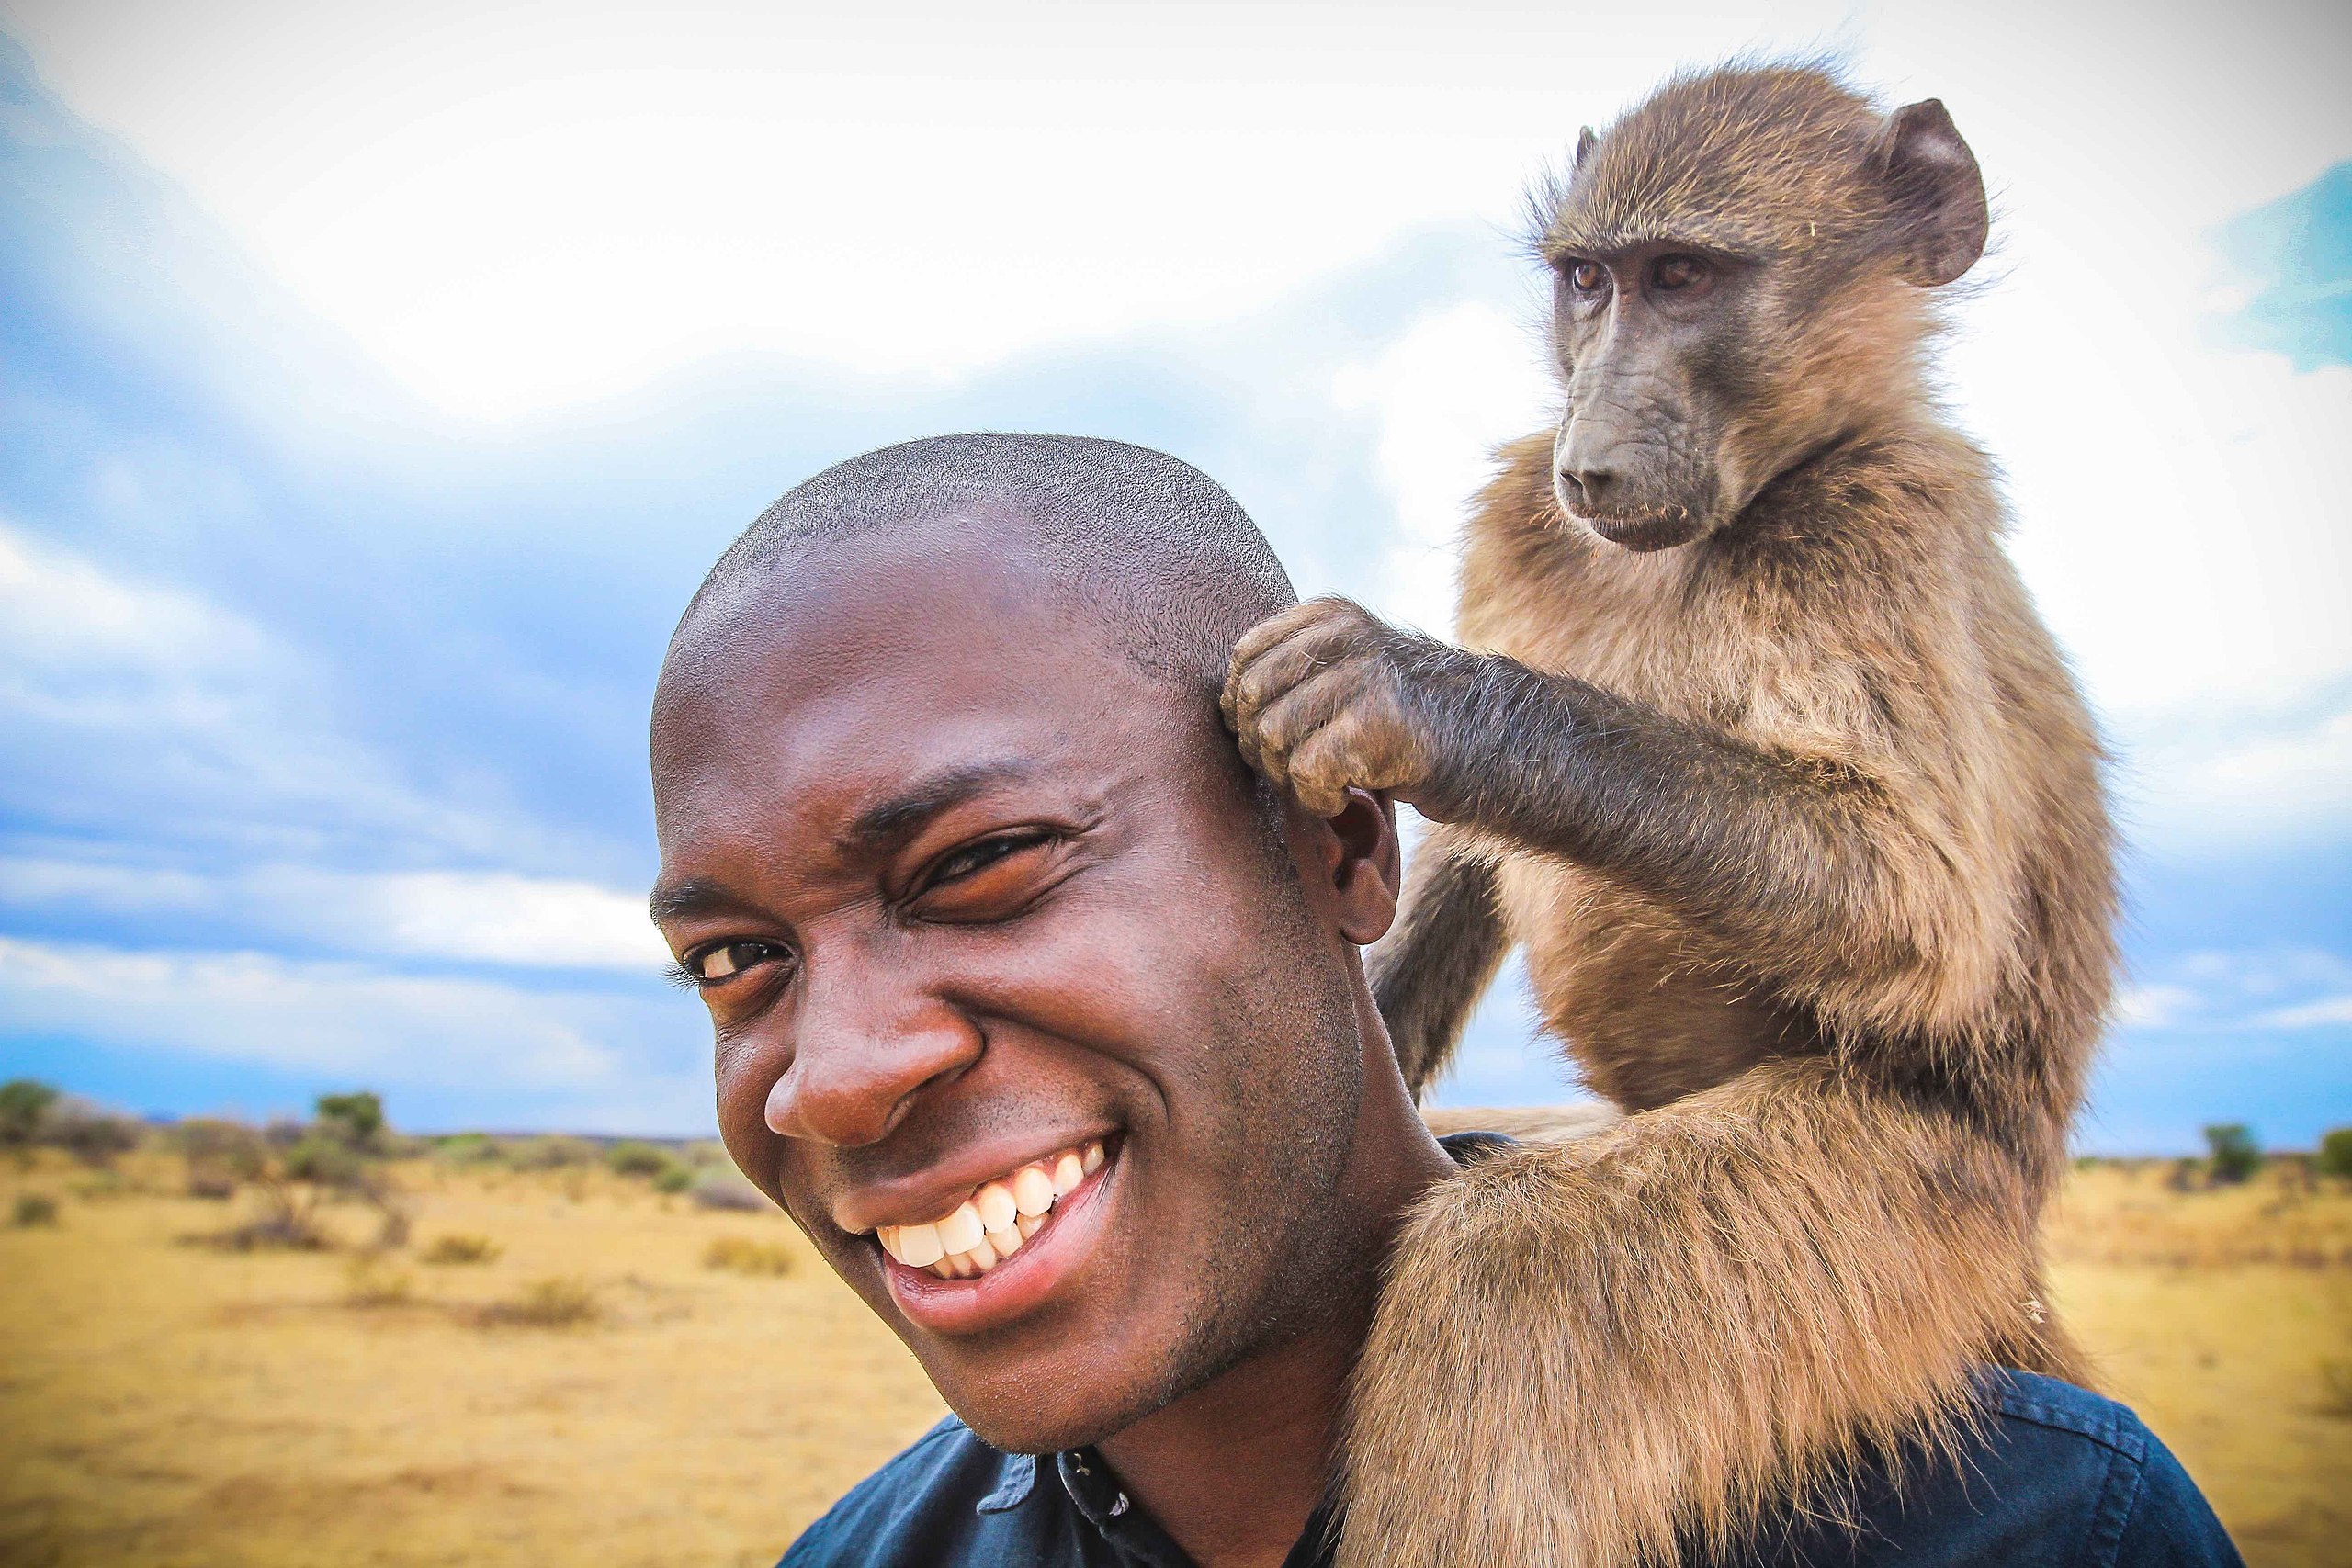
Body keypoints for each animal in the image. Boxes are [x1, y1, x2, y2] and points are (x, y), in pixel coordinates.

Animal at [1221, 62, 2118, 1567]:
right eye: (1589, 281)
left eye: (1686, 278)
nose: (1589, 461)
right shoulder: (1516, 518)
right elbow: (1464, 870)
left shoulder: (1879, 521)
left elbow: (1914, 901)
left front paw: (1413, 691)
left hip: (1907, 1210)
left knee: (1508, 1284)